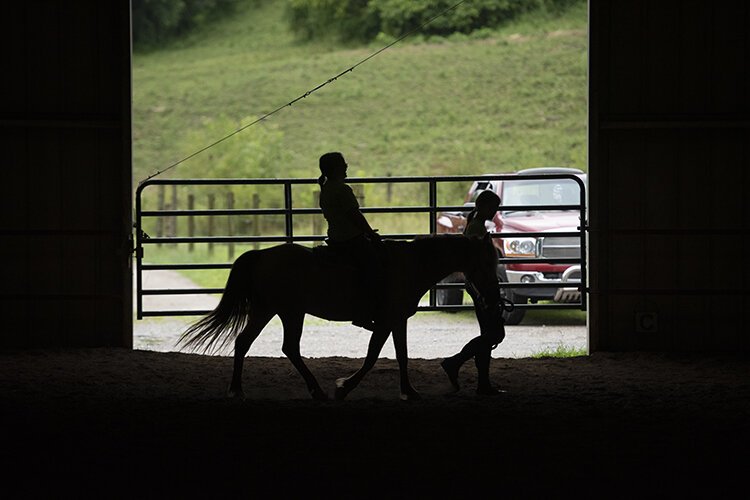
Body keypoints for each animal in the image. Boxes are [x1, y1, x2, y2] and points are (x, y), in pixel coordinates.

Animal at [178, 232, 502, 400]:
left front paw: (409, 391)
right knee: (271, 345)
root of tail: (262, 255)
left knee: (260, 344)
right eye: (487, 261)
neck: (409, 266)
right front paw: (345, 387)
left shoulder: (398, 319)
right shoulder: (386, 320)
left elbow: (402, 355)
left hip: (278, 310)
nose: (493, 295)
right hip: (281, 310)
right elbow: (372, 356)